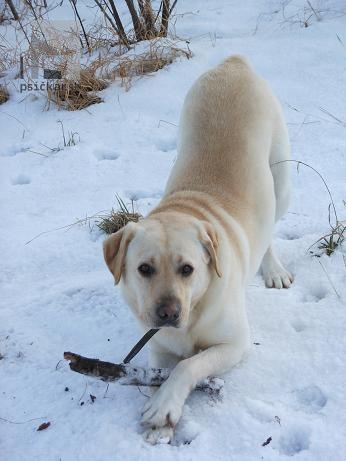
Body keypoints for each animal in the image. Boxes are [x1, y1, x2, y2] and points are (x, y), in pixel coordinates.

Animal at [102, 55, 292, 444]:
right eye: (144, 269)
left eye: (187, 269)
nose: (168, 312)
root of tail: (233, 63)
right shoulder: (158, 347)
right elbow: (160, 372)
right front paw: (162, 417)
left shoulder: (235, 343)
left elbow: (190, 364)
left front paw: (164, 406)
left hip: (281, 179)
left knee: (270, 228)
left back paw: (274, 269)